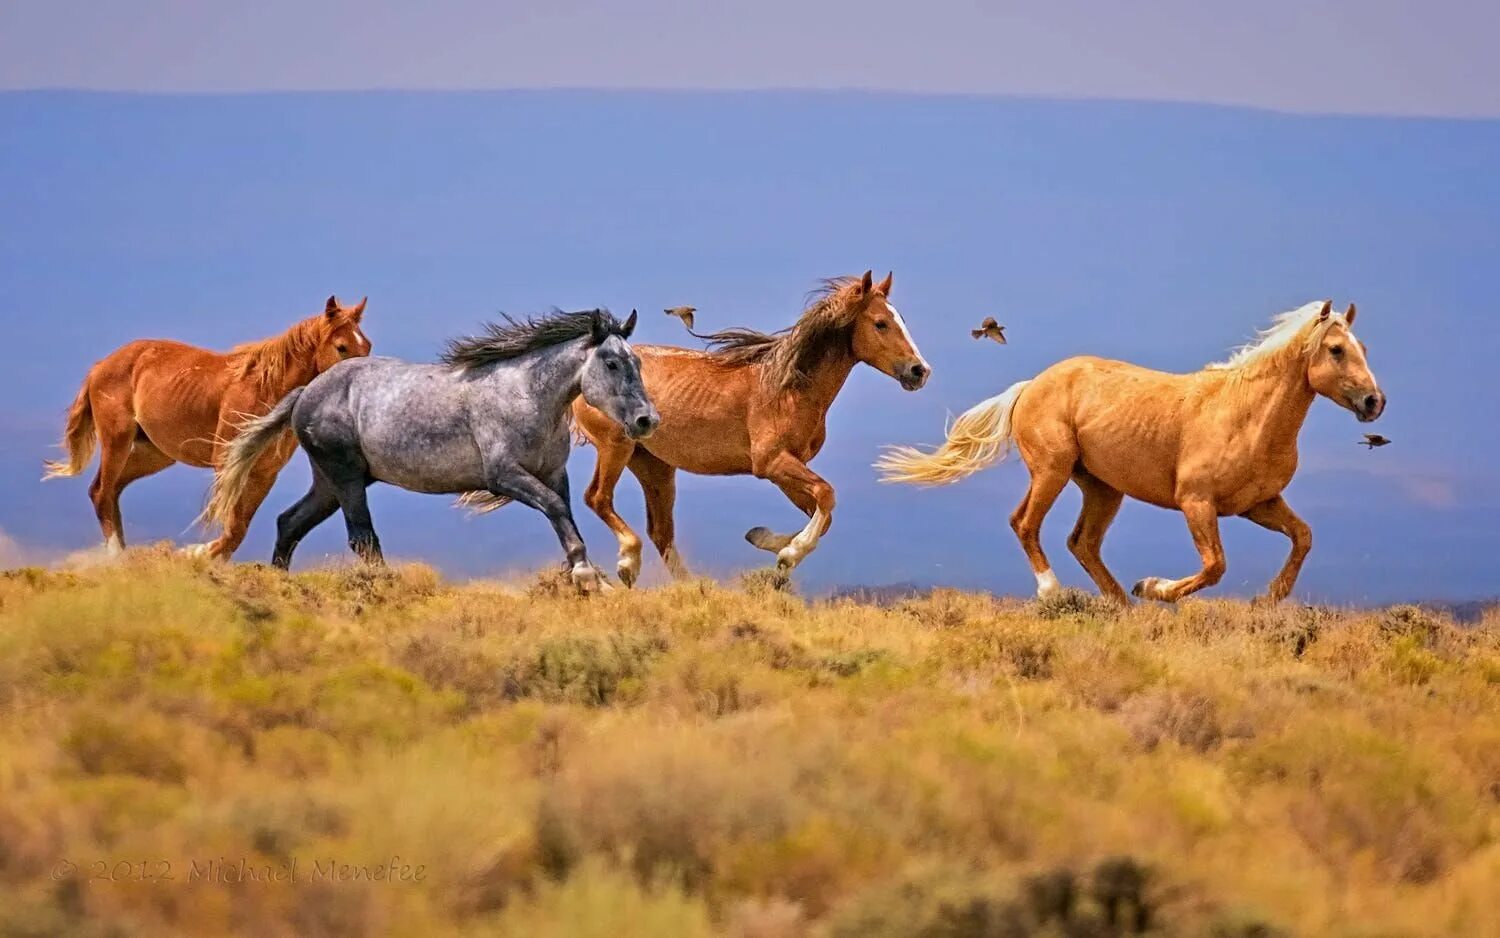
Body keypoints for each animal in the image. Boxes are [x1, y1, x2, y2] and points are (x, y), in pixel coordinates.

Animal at [43, 294, 372, 555]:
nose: (360, 383)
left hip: (153, 455)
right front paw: (196, 554)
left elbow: (238, 530)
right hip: (117, 441)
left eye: (366, 346)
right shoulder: (228, 464)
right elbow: (232, 525)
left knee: (110, 493)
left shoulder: (263, 474)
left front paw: (202, 556)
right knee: (102, 492)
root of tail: (101, 366)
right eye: (341, 347)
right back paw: (118, 559)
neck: (265, 389)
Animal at [207, 307, 657, 588]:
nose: (646, 420)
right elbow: (557, 509)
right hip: (345, 477)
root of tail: (307, 392)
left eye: (637, 362)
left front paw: (592, 578)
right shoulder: (505, 476)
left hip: (331, 483)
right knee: (361, 538)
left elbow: (563, 513)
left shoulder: (551, 473)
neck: (526, 394)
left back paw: (277, 581)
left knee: (289, 523)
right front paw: (585, 576)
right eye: (612, 363)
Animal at [558, 267, 930, 582]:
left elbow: (822, 513)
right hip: (616, 446)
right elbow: (827, 495)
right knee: (598, 498)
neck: (788, 388)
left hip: (654, 465)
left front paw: (768, 542)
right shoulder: (772, 462)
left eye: (900, 320)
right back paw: (627, 564)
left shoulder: (786, 469)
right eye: (880, 323)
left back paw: (693, 589)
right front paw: (788, 554)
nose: (919, 371)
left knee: (661, 532)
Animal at [876, 301, 1380, 606]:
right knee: (1025, 524)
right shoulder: (1197, 503)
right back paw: (1055, 592)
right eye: (1336, 350)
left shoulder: (1258, 504)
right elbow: (1215, 565)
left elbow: (1303, 537)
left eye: (1363, 347)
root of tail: (1031, 385)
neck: (1246, 415)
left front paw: (1267, 600)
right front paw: (1154, 588)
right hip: (1052, 470)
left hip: (1103, 489)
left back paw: (1119, 605)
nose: (1374, 402)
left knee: (1082, 542)